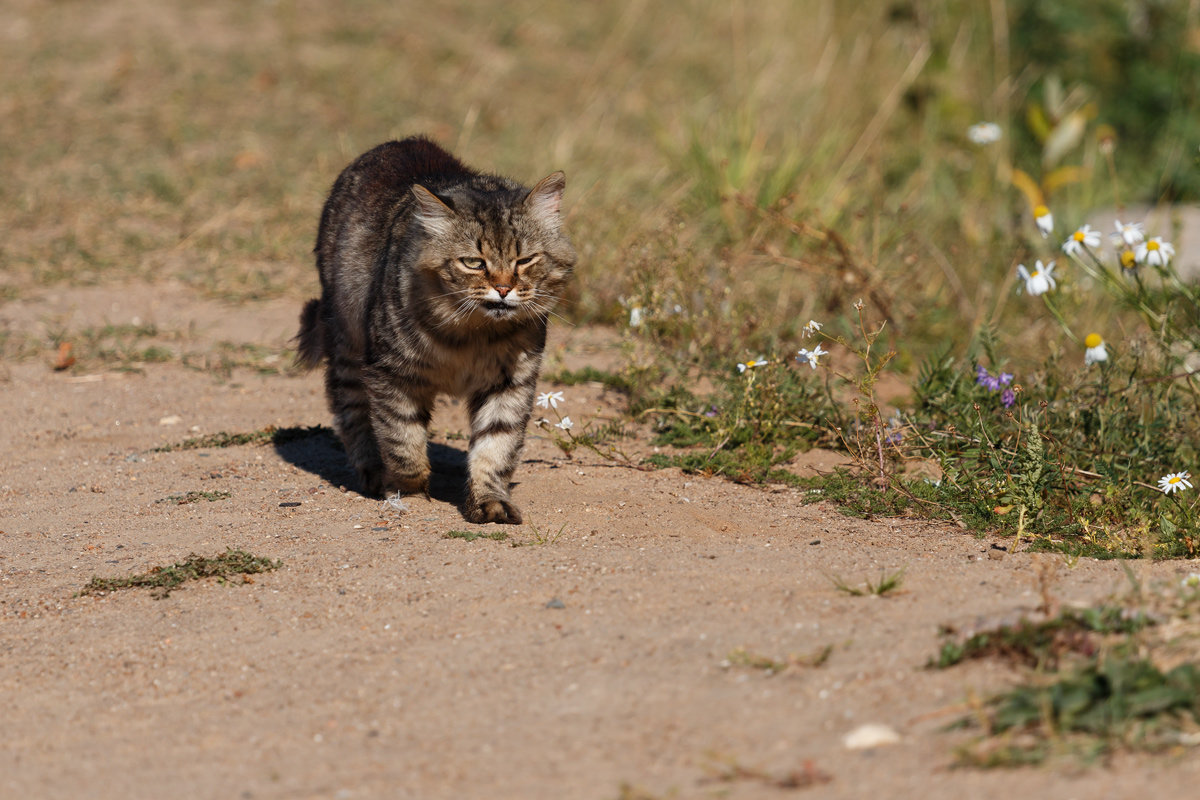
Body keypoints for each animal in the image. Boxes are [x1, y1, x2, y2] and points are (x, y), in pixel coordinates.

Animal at [290, 137, 571, 525]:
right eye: (474, 263)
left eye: (525, 260)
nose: (503, 289)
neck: (473, 334)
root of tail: (400, 142)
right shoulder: (392, 374)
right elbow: (403, 443)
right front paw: (409, 491)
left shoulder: (510, 383)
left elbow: (495, 448)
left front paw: (489, 501)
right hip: (348, 347)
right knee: (351, 412)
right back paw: (372, 472)